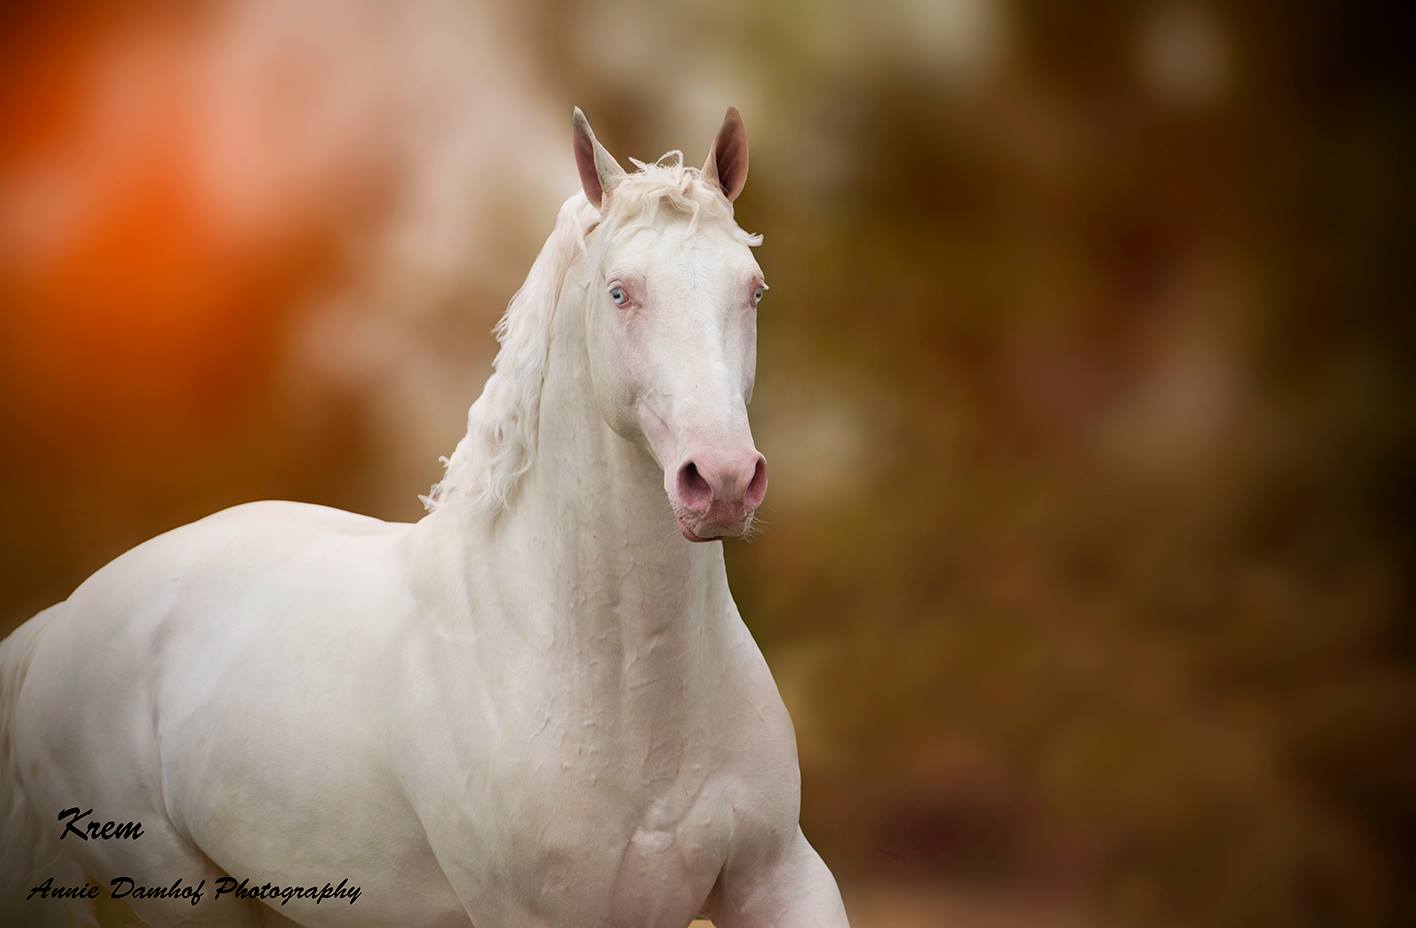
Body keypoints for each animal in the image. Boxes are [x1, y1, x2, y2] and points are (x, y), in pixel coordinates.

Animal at [0, 110, 838, 928]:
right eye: (620, 293)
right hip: (183, 896)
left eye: (753, 290)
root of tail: (65, 620)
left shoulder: (780, 879)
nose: (721, 480)